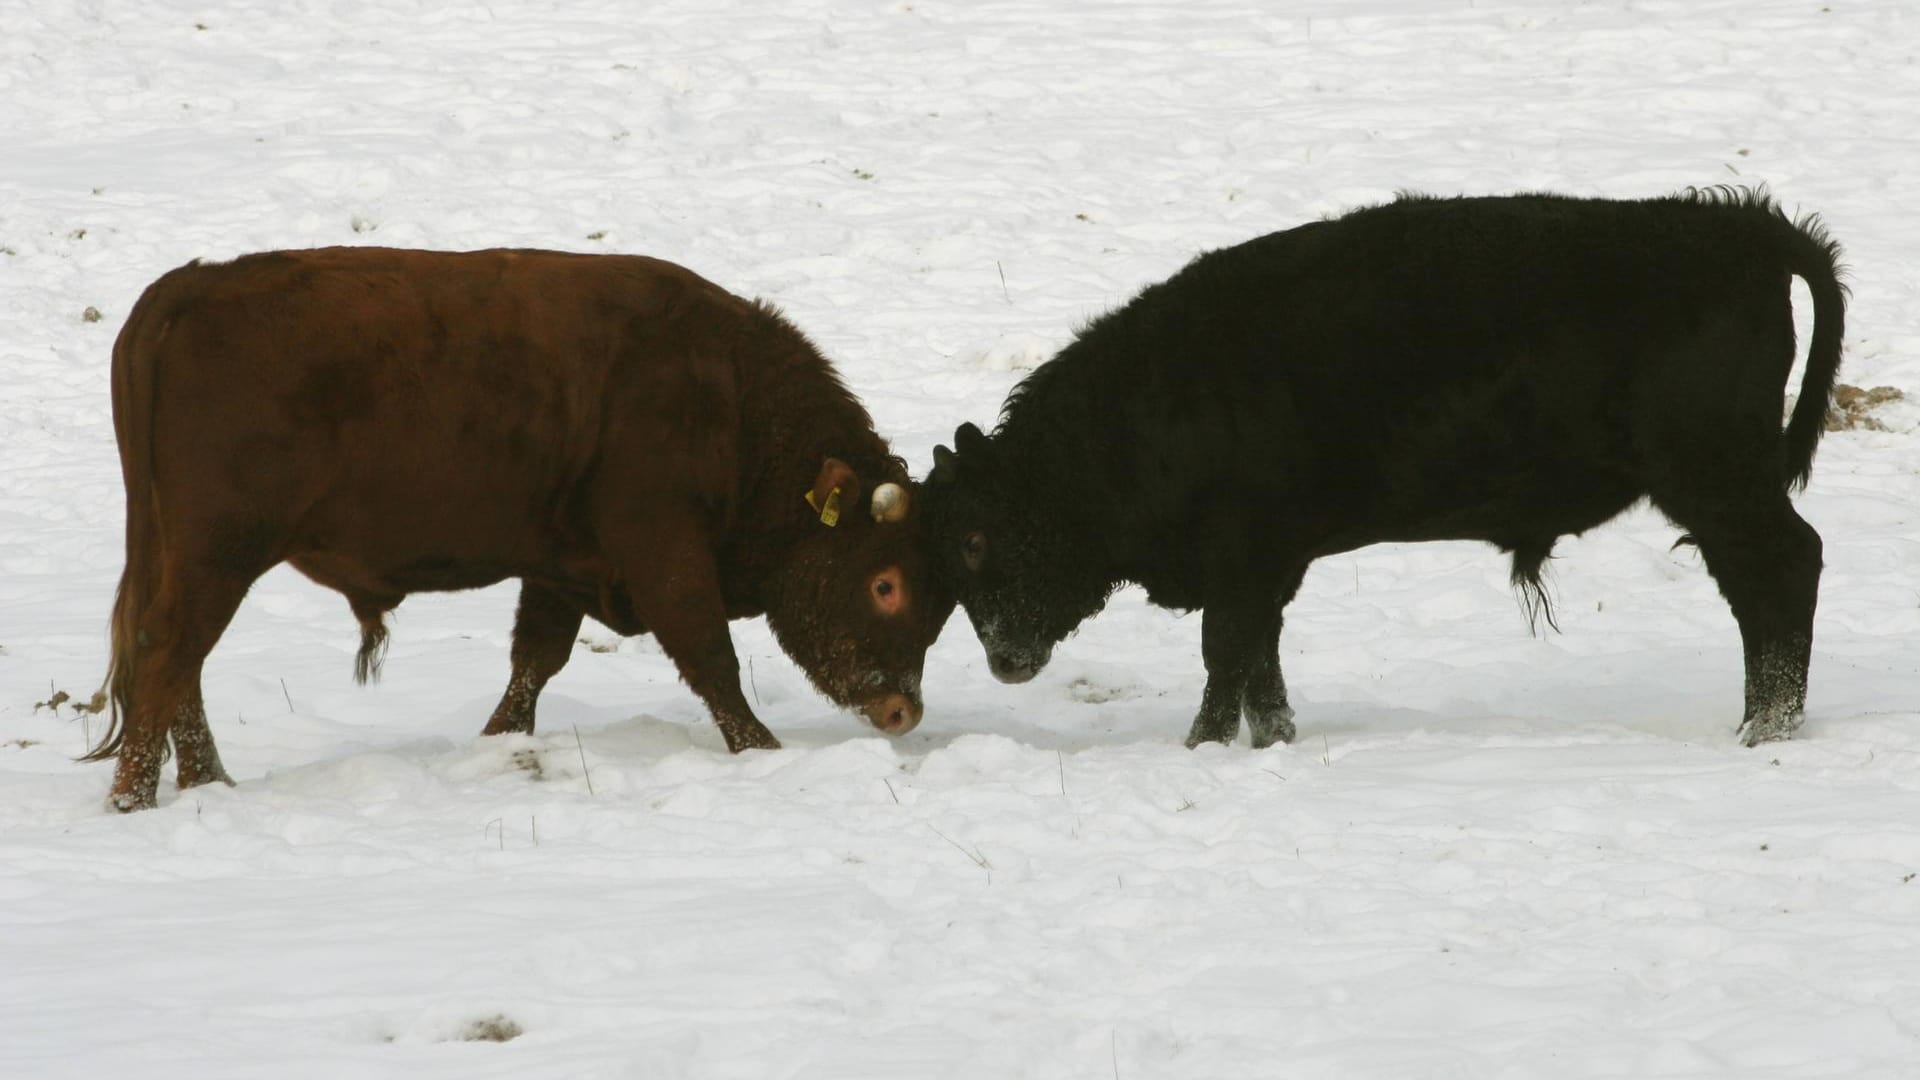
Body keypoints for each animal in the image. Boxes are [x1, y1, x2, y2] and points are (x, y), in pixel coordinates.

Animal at [88, 247, 952, 807]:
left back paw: (209, 783)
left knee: (177, 664)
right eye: (885, 583)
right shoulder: (663, 551)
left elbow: (535, 661)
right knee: (170, 655)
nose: (902, 710)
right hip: (219, 554)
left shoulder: (561, 565)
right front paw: (764, 753)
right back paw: (136, 799)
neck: (733, 402)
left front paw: (500, 745)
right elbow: (712, 659)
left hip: (189, 555)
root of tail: (190, 288)